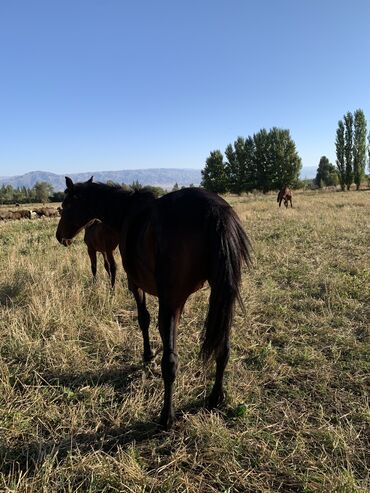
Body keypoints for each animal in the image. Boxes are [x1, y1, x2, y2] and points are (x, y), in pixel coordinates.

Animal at [55, 176, 251, 426]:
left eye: (66, 205)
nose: (60, 236)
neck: (126, 211)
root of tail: (214, 209)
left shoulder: (136, 285)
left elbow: (144, 320)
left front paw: (147, 355)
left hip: (171, 302)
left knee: (170, 363)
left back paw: (166, 417)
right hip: (223, 299)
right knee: (222, 349)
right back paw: (215, 397)